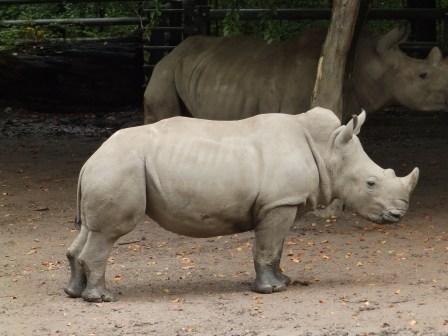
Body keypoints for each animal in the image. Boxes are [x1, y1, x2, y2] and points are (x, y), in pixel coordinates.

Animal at [65, 107, 418, 302]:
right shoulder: (278, 204)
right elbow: (266, 248)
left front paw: (284, 282)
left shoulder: (282, 204)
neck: (327, 148)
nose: (399, 214)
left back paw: (74, 293)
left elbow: (277, 248)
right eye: (371, 183)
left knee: (90, 232)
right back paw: (102, 298)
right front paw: (271, 291)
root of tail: (90, 159)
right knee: (108, 234)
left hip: (111, 167)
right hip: (120, 166)